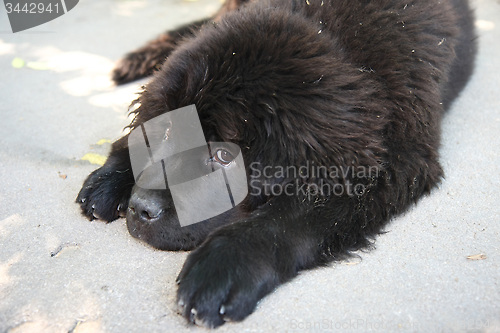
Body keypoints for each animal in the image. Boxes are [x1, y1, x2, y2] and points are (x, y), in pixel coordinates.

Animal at [77, 0, 476, 326]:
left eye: (224, 156)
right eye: (169, 129)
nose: (139, 207)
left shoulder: (388, 164)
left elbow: (286, 217)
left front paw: (223, 267)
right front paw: (110, 177)